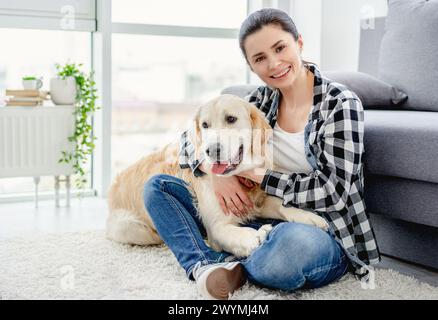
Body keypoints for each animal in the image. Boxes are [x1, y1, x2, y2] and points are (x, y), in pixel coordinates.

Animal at [106, 94, 326, 258]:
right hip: (136, 229)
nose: (211, 150)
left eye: (231, 119)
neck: (238, 176)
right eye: (205, 125)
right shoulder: (217, 227)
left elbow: (281, 205)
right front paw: (256, 236)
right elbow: (239, 233)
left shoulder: (257, 202)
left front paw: (309, 217)